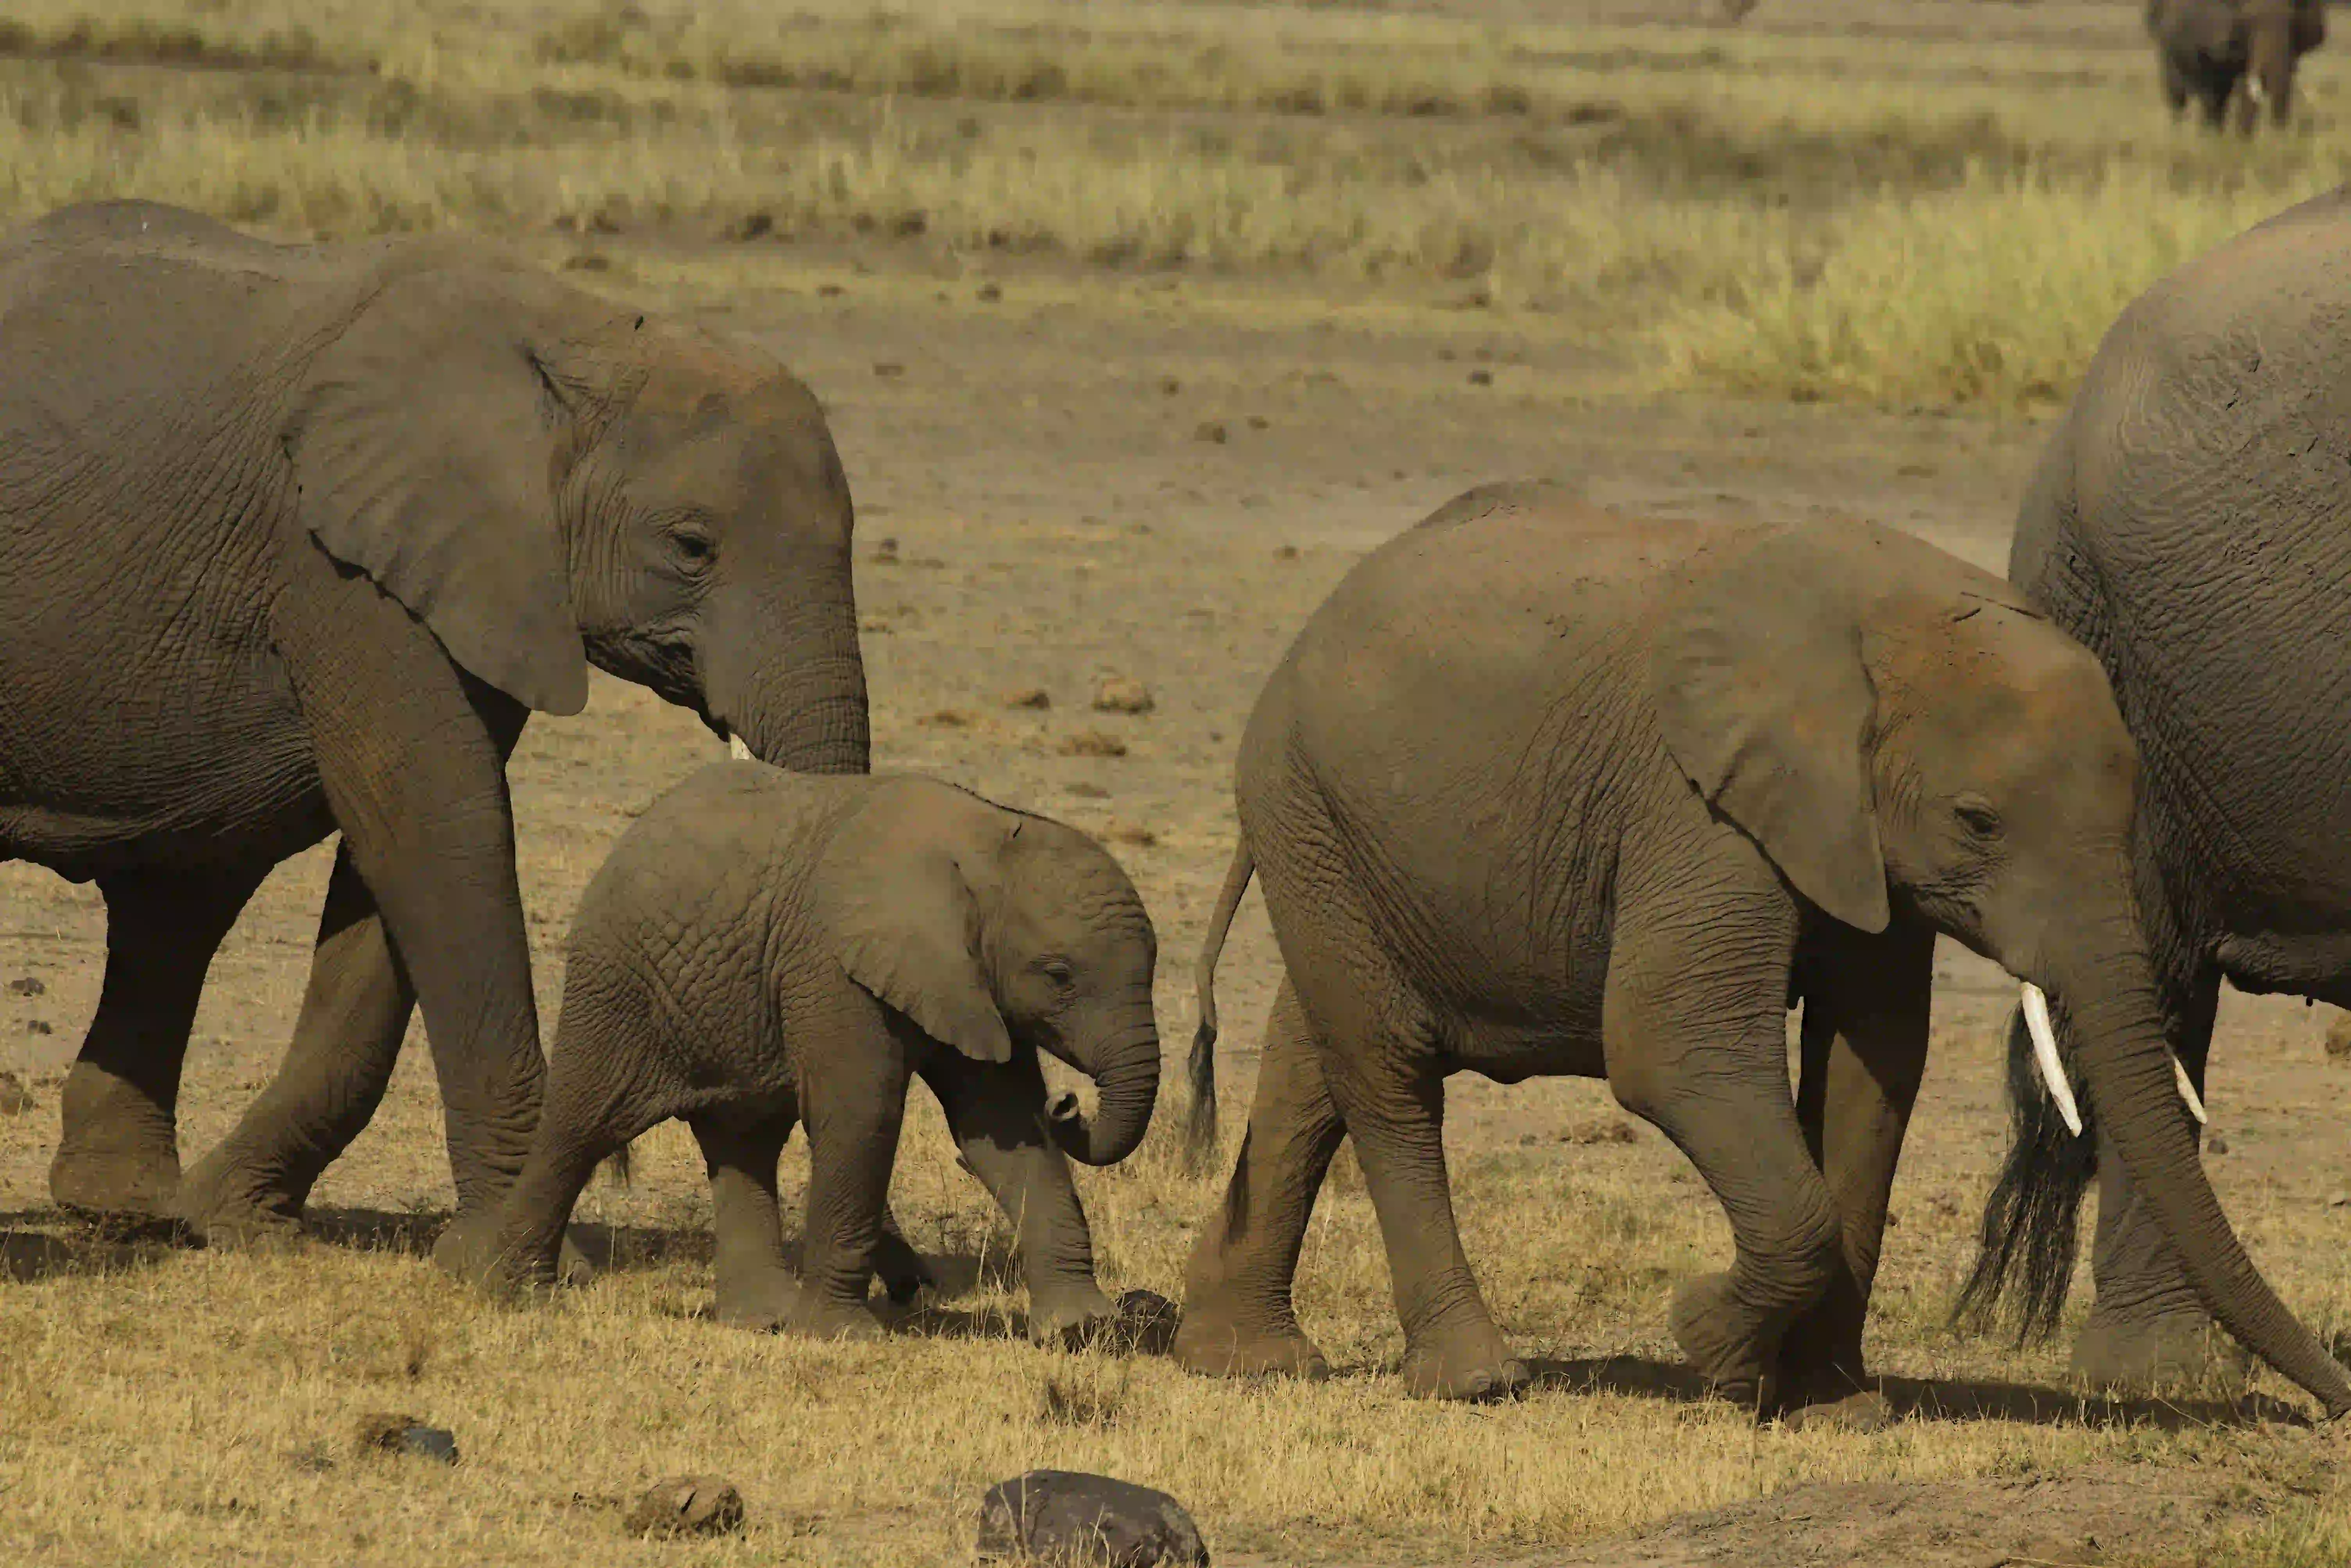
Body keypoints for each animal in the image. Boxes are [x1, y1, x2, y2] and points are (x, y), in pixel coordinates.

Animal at [0, 201, 870, 1268]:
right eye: (691, 546)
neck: (584, 341)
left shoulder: (474, 575)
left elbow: (390, 866)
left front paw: (242, 1221)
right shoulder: (339, 563)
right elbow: (438, 825)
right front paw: (522, 1258)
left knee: (180, 898)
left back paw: (129, 1207)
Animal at [460, 763, 1161, 1341]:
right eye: (1059, 975)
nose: (1071, 1103)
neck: (985, 841)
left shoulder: (970, 984)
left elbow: (1005, 1131)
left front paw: (1081, 1329)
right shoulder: (831, 968)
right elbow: (861, 1115)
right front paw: (840, 1337)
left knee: (743, 1143)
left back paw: (761, 1319)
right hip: (615, 982)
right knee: (581, 1128)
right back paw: (513, 1294)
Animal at [1169, 484, 2351, 1424]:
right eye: (1976, 822)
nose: (2330, 1407)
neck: (1895, 616)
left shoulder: (1858, 838)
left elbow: (1872, 1071)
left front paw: (1833, 1408)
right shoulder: (1696, 805)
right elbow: (1671, 1047)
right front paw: (1710, 1348)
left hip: (1336, 837)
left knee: (1310, 1057)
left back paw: (1244, 1360)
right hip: (1304, 803)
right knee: (1387, 1071)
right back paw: (1475, 1380)